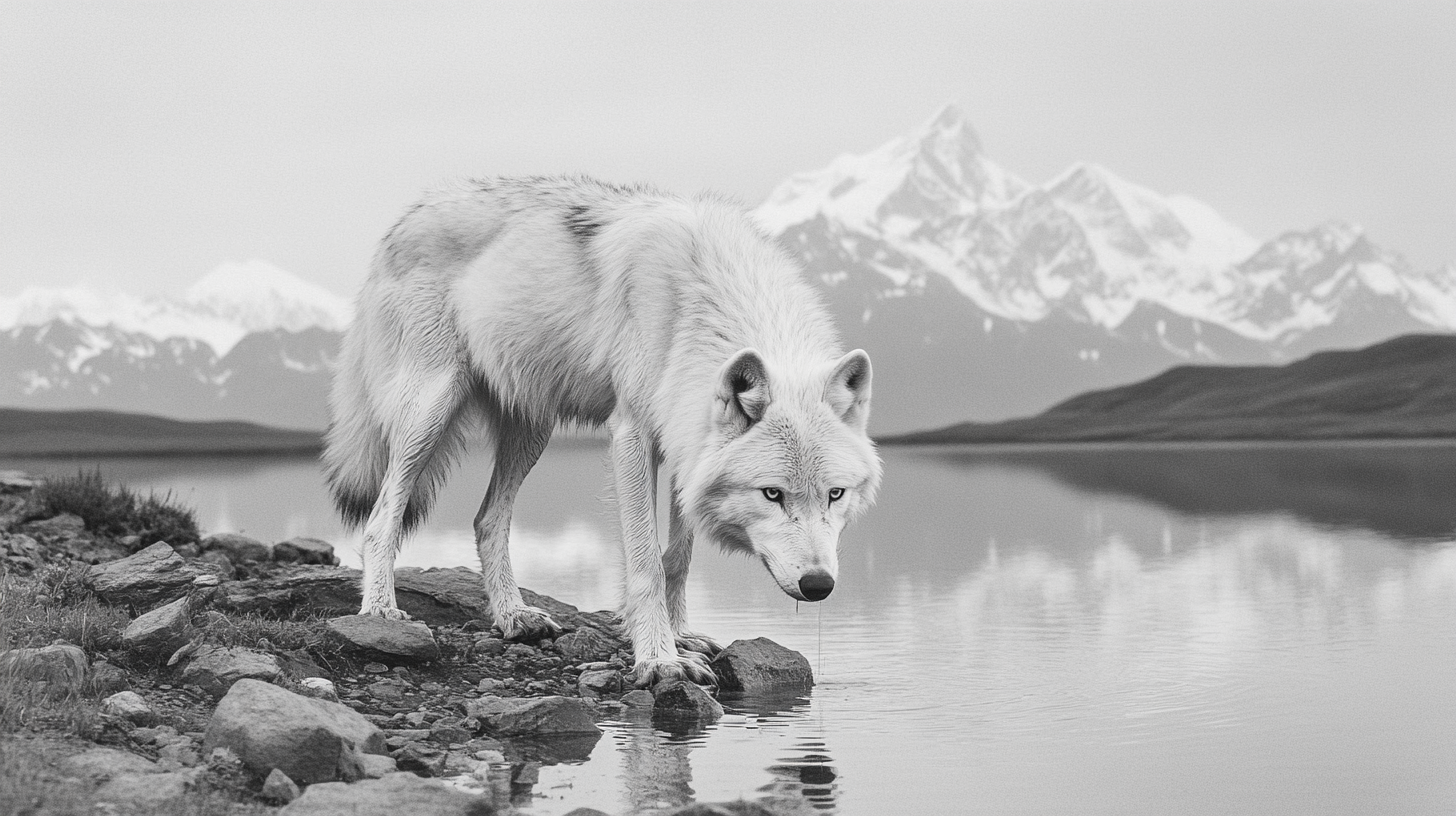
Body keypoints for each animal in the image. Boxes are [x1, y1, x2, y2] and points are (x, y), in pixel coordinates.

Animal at [323, 175, 879, 684]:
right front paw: (659, 658)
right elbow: (646, 560)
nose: (819, 585)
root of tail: (410, 213)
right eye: (772, 494)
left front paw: (680, 637)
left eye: (835, 494)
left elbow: (677, 557)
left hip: (532, 429)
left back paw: (512, 616)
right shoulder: (632, 433)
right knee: (382, 517)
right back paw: (380, 609)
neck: (704, 295)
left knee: (486, 520)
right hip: (430, 410)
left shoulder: (684, 444)